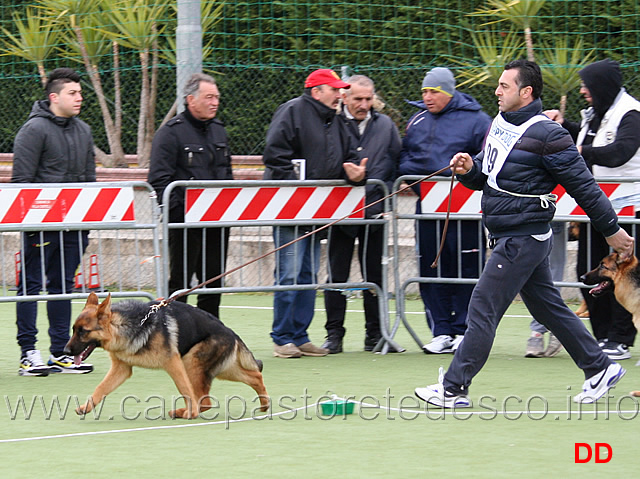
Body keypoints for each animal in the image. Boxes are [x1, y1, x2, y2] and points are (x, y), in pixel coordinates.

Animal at [62, 292, 268, 420]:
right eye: (73, 330)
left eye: (83, 331)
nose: (65, 352)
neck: (124, 325)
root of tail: (230, 332)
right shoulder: (121, 369)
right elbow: (101, 388)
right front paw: (87, 407)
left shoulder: (173, 363)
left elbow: (184, 389)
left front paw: (192, 413)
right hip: (222, 368)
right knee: (255, 376)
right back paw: (265, 405)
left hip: (191, 363)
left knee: (205, 401)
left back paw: (186, 412)